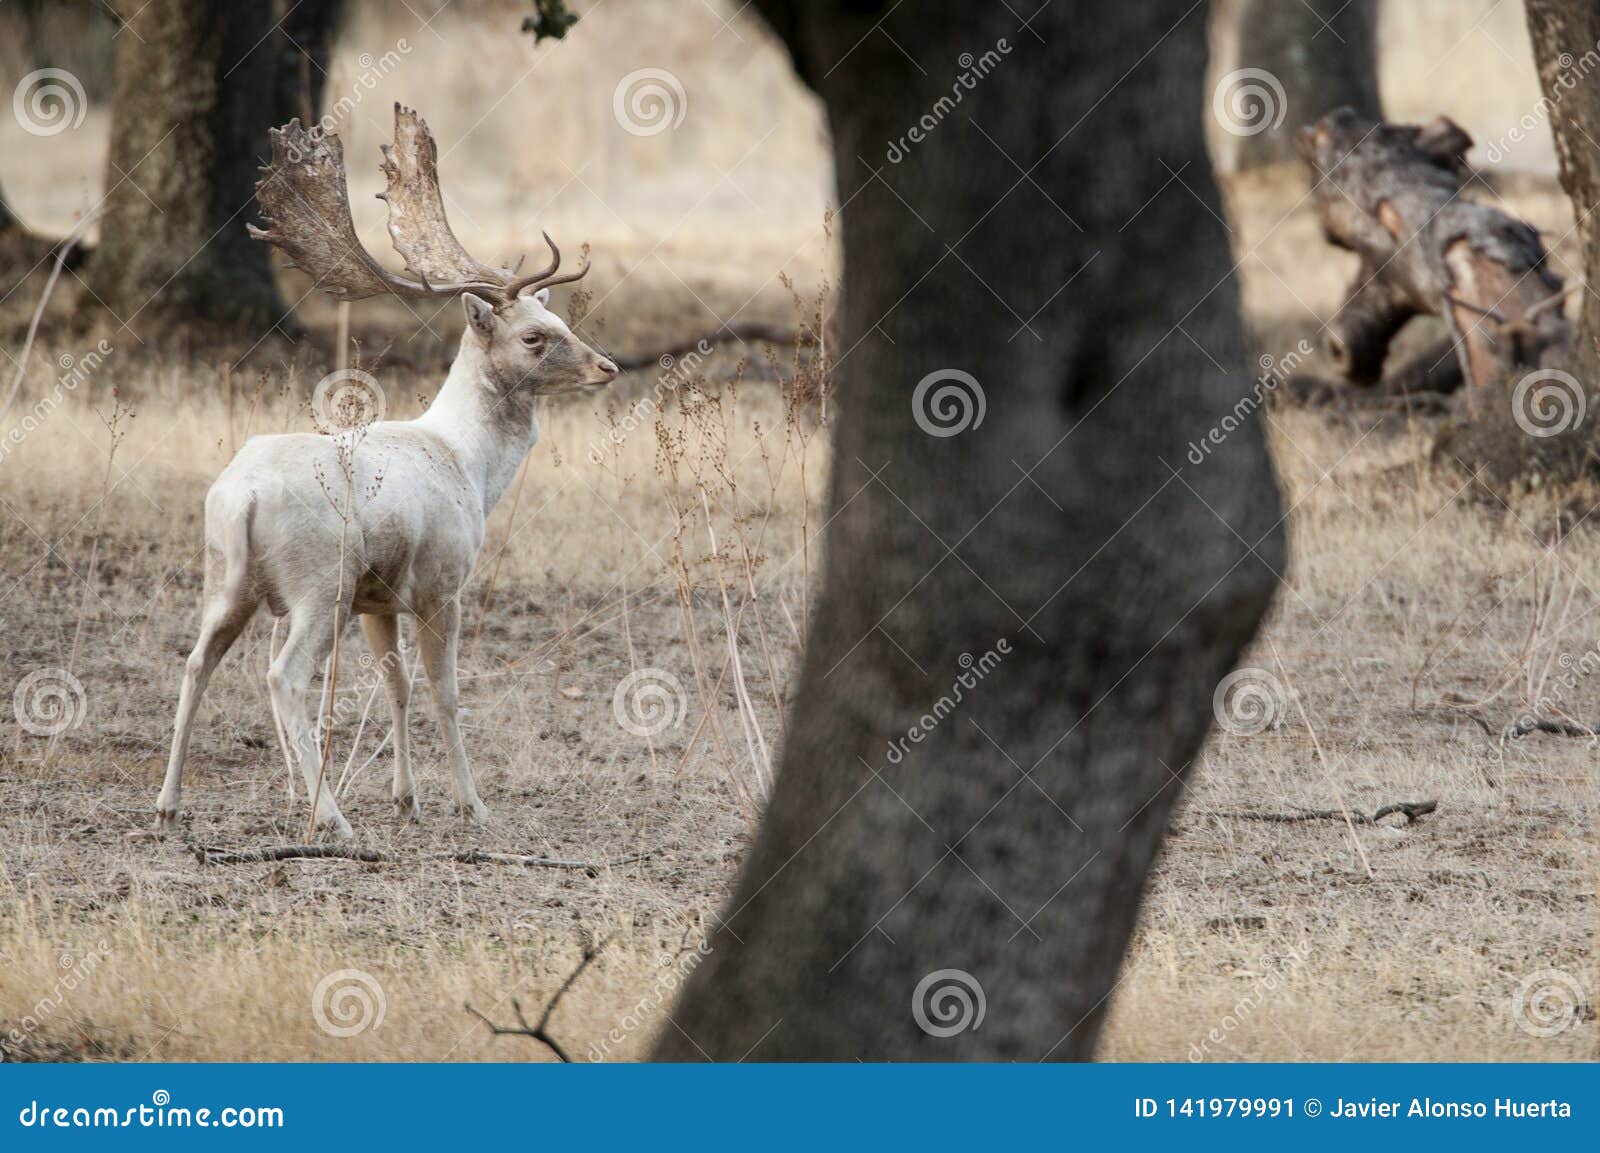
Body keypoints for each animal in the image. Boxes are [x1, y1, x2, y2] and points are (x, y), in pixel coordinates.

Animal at [154, 105, 617, 837]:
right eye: (534, 336)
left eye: (558, 315)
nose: (608, 366)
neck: (470, 465)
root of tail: (240, 497)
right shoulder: (442, 581)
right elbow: (445, 691)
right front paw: (472, 802)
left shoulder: (379, 599)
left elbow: (395, 684)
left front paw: (407, 797)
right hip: (322, 581)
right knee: (283, 676)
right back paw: (331, 818)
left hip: (224, 579)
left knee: (197, 661)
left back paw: (170, 801)